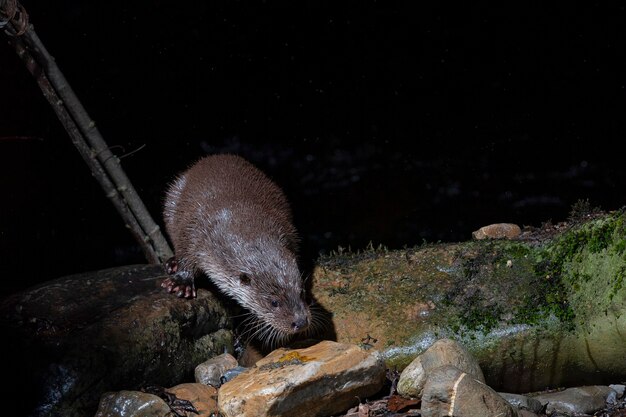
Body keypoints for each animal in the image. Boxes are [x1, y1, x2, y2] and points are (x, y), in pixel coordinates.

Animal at [160, 154, 308, 342]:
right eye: (274, 302)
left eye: (302, 292)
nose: (301, 322)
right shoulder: (194, 229)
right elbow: (185, 252)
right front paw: (180, 282)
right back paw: (172, 263)